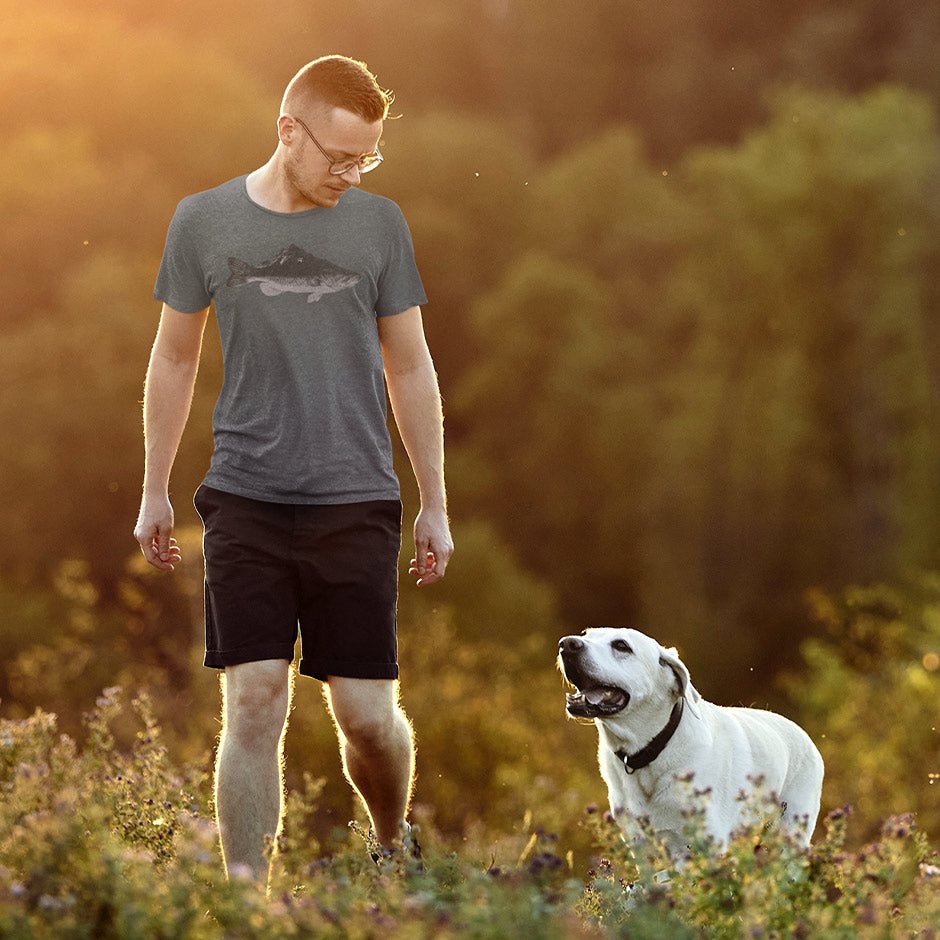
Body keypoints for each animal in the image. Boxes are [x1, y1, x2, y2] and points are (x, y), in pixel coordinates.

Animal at [560, 624, 824, 860]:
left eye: (621, 646)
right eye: (586, 634)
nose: (566, 644)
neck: (652, 751)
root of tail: (803, 733)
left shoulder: (706, 847)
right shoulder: (643, 850)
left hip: (791, 837)